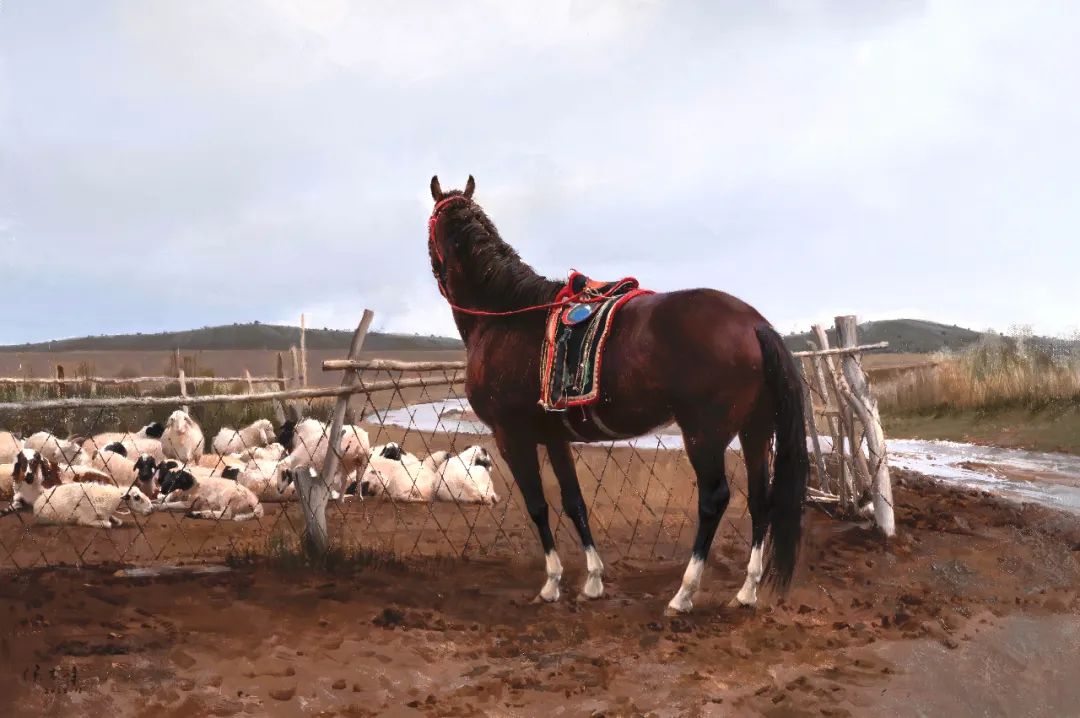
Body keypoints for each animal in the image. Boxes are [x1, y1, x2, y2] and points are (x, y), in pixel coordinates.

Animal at [425, 175, 807, 613]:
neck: (505, 318)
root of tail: (754, 323)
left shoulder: (511, 436)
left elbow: (537, 506)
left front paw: (552, 583)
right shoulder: (554, 437)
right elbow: (573, 502)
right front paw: (592, 580)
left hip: (704, 435)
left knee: (714, 500)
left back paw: (683, 594)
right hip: (756, 430)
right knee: (761, 499)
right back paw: (747, 591)